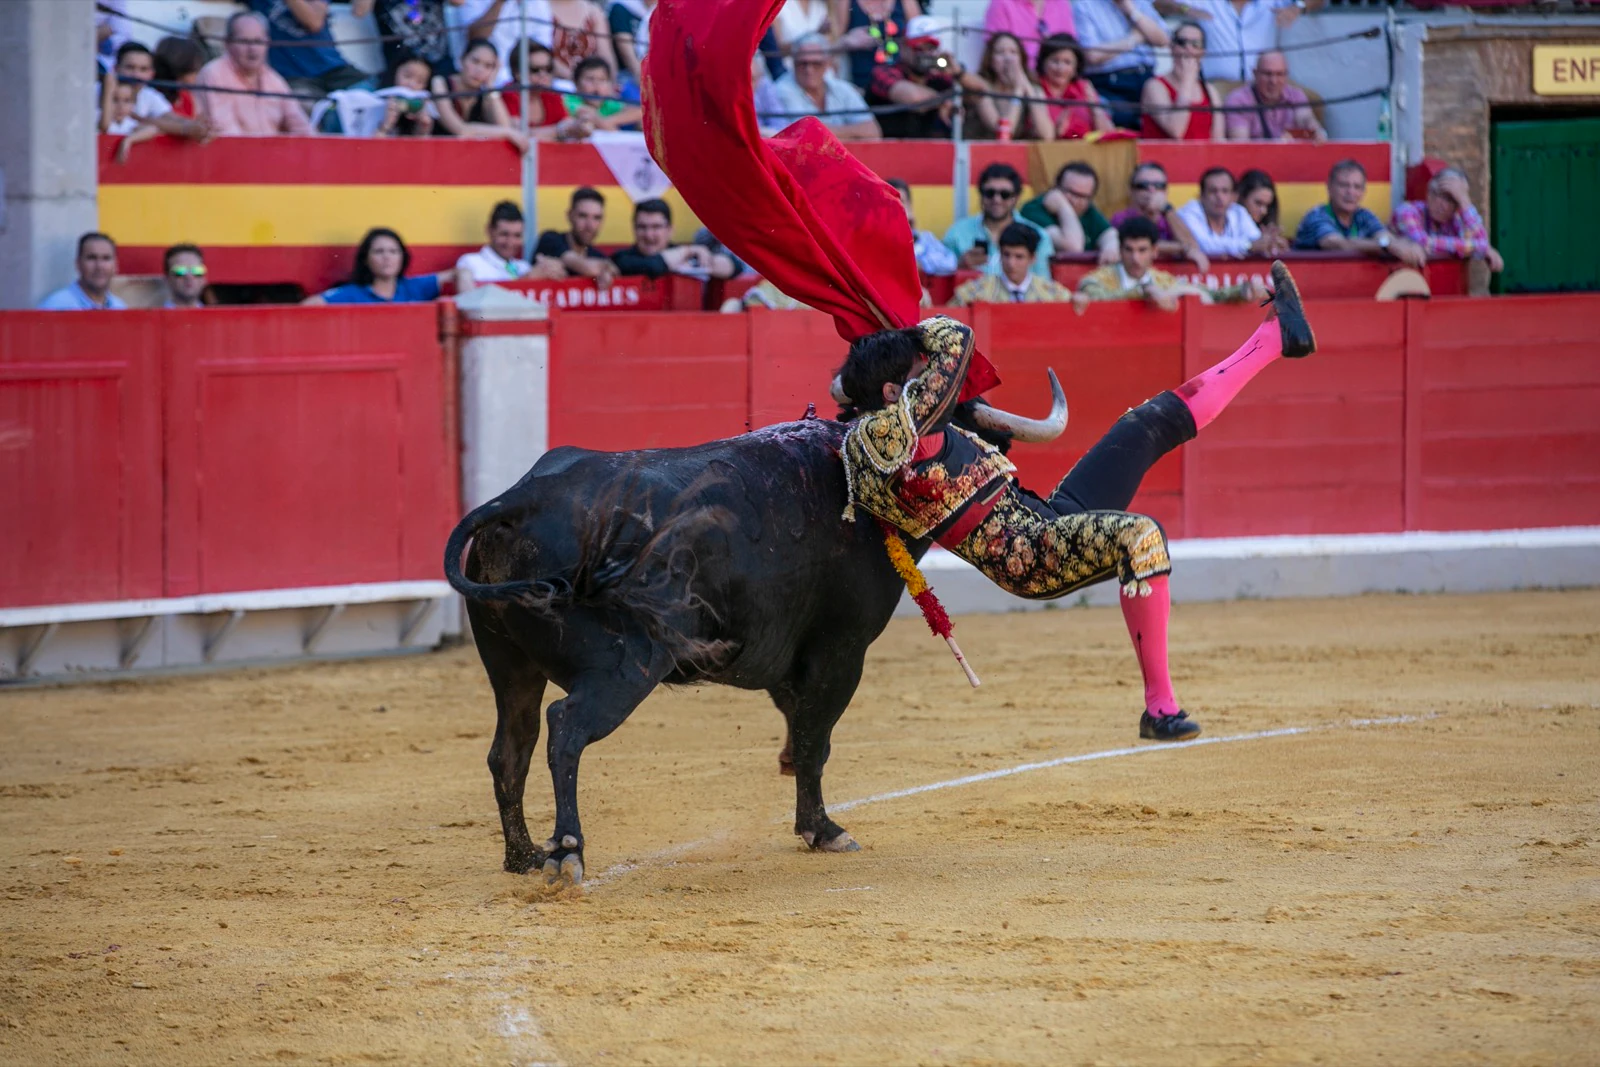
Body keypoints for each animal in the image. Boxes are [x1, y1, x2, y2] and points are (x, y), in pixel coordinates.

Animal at [444, 412, 921, 883]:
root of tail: (525, 497)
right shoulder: (840, 650)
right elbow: (813, 740)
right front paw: (823, 830)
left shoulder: (784, 660)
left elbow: (800, 730)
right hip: (626, 667)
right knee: (565, 727)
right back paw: (567, 854)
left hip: (510, 664)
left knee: (511, 748)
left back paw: (523, 856)